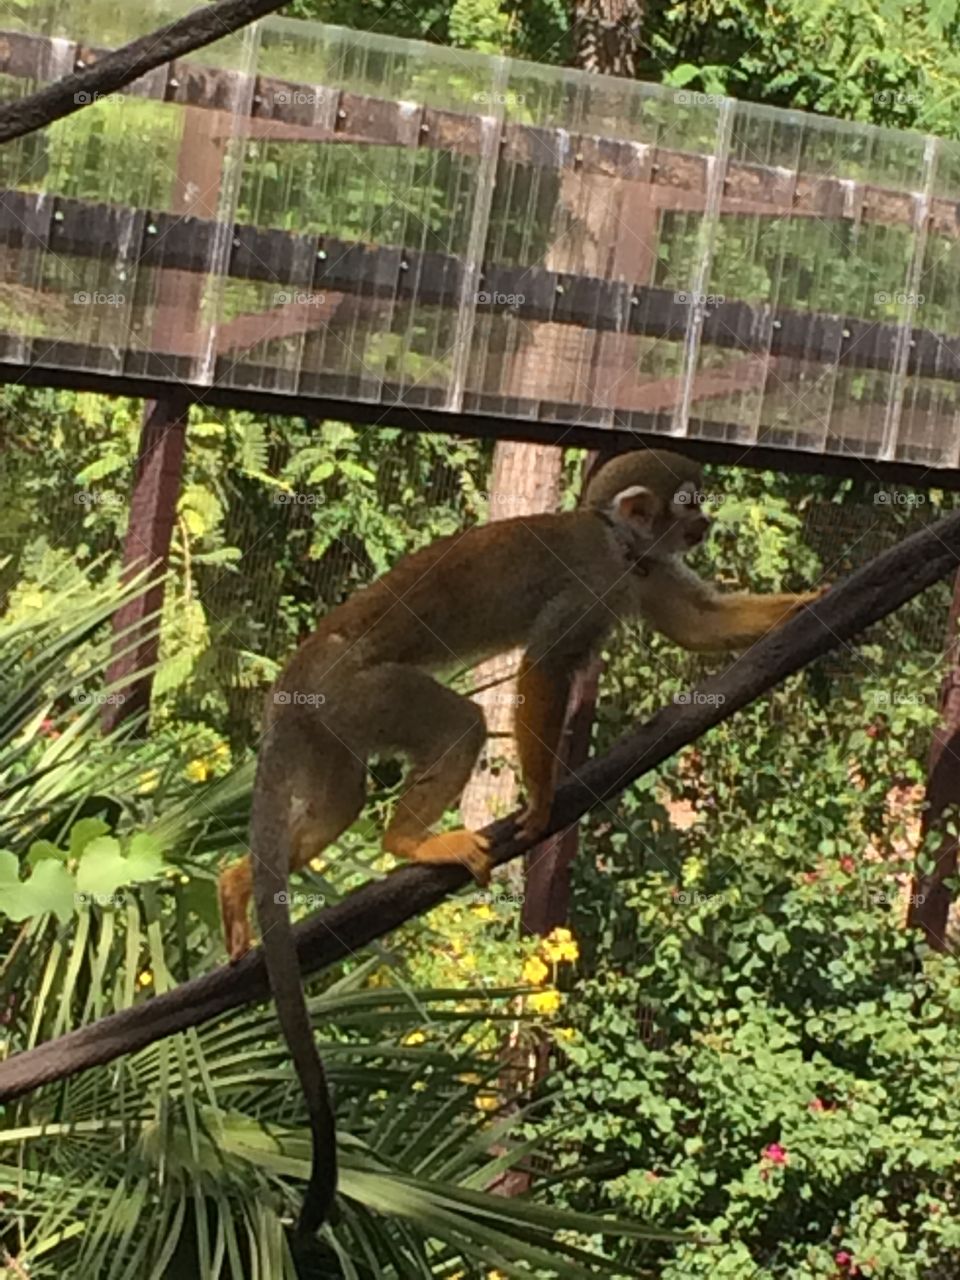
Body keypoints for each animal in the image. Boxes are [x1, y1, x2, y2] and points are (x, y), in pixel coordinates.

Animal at [217, 447, 824, 1234]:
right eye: (688, 502)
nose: (707, 523)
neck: (620, 545)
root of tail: (294, 677)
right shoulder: (594, 574)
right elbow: (543, 667)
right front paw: (539, 800)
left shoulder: (644, 570)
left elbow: (698, 624)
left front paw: (812, 603)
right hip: (362, 694)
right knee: (459, 725)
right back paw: (408, 842)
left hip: (332, 725)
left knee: (341, 798)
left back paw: (237, 883)